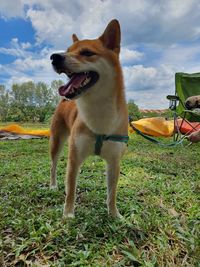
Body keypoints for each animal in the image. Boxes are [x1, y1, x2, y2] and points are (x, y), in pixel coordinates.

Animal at [49, 19, 128, 220]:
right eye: (68, 50)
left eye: (86, 53)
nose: (54, 57)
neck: (98, 112)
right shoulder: (74, 157)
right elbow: (71, 189)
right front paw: (68, 214)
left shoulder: (114, 162)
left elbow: (112, 193)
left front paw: (114, 214)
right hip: (56, 143)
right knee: (53, 166)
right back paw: (52, 185)